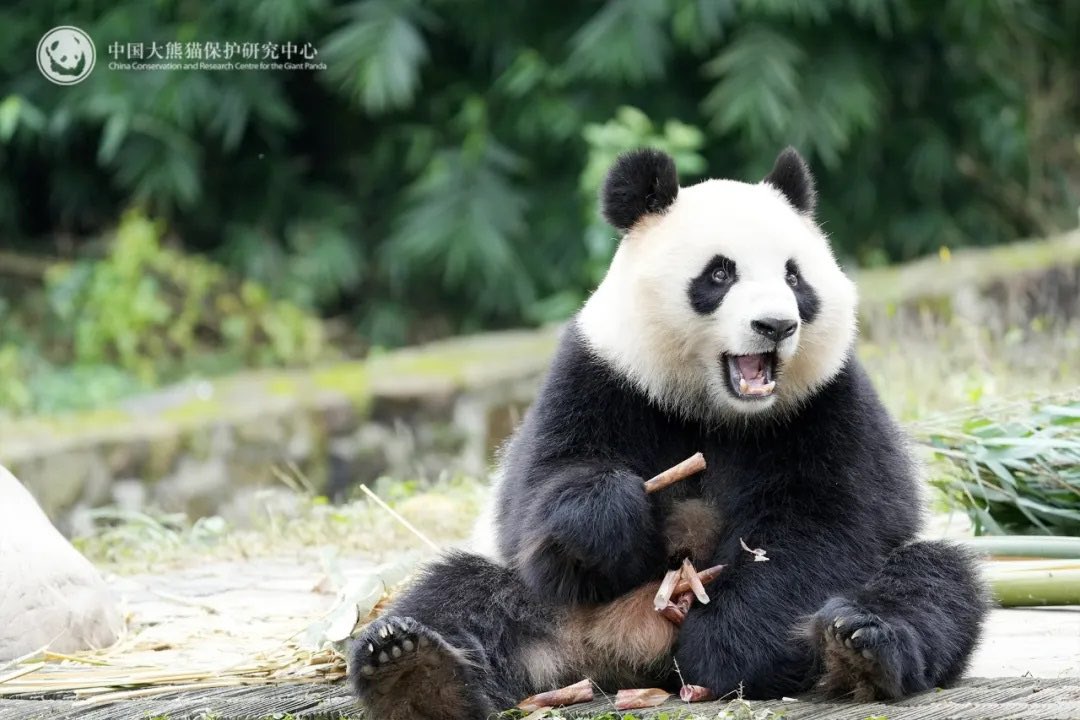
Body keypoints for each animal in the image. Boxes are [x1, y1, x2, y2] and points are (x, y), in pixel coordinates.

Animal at [349, 147, 988, 719]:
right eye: (721, 272)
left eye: (794, 276)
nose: (777, 325)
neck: (718, 409)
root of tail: (615, 656)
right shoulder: (601, 375)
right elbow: (538, 495)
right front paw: (605, 511)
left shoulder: (825, 403)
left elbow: (821, 527)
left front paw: (724, 649)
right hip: (540, 608)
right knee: (460, 594)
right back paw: (413, 671)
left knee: (934, 582)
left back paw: (858, 647)